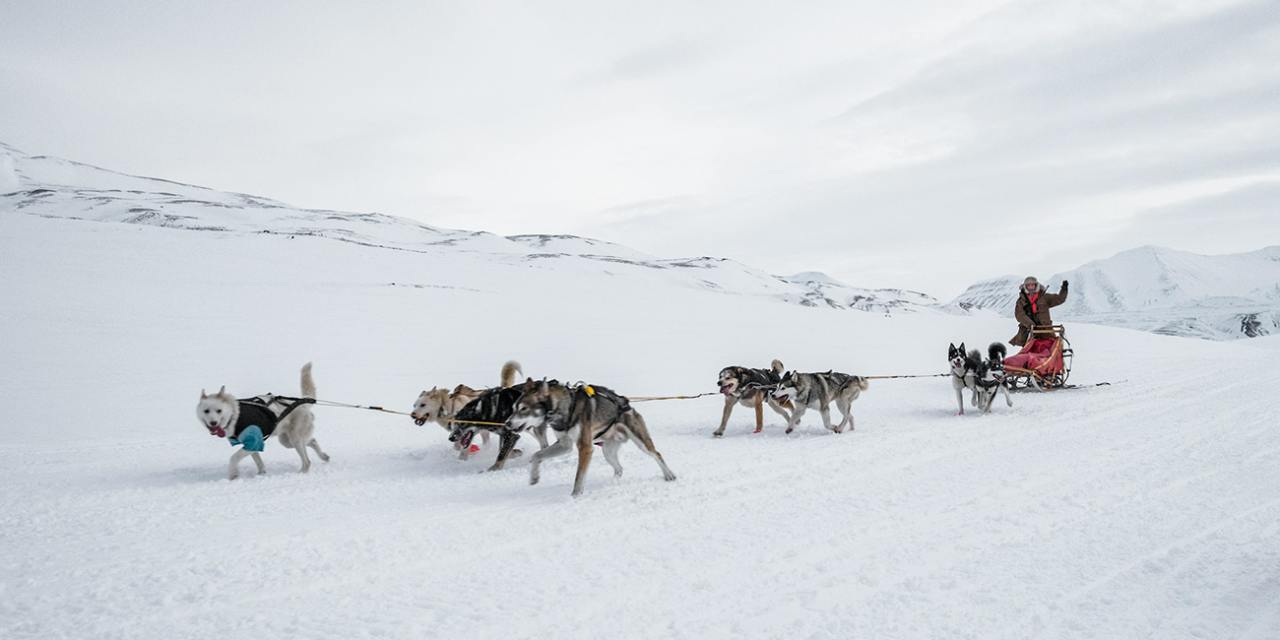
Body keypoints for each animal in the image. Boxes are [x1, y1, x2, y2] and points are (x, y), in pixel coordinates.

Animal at [195, 363, 330, 478]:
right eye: (206, 411)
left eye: (219, 411)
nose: (213, 423)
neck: (234, 415)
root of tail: (303, 403)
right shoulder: (252, 443)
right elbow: (258, 461)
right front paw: (261, 474)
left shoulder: (252, 442)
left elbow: (234, 458)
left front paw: (233, 474)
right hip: (287, 441)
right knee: (312, 441)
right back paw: (324, 456)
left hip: (295, 440)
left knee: (307, 461)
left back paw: (301, 473)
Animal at [506, 378, 680, 494]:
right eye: (513, 408)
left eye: (523, 408)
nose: (507, 423)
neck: (566, 407)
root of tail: (627, 404)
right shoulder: (564, 444)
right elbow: (537, 455)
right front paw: (534, 477)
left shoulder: (585, 448)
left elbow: (578, 478)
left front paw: (575, 496)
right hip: (608, 451)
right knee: (619, 468)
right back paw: (612, 483)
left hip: (641, 442)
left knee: (656, 454)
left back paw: (669, 475)